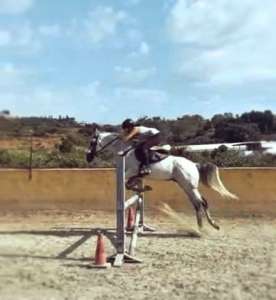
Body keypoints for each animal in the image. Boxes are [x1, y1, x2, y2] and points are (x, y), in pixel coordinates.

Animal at [87, 130, 238, 231]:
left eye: (92, 142)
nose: (88, 157)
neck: (125, 151)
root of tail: (194, 164)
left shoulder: (131, 171)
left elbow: (127, 183)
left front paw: (144, 188)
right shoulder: (136, 174)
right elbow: (131, 184)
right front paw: (144, 188)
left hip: (189, 186)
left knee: (202, 203)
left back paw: (210, 225)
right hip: (185, 186)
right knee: (198, 203)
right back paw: (202, 226)